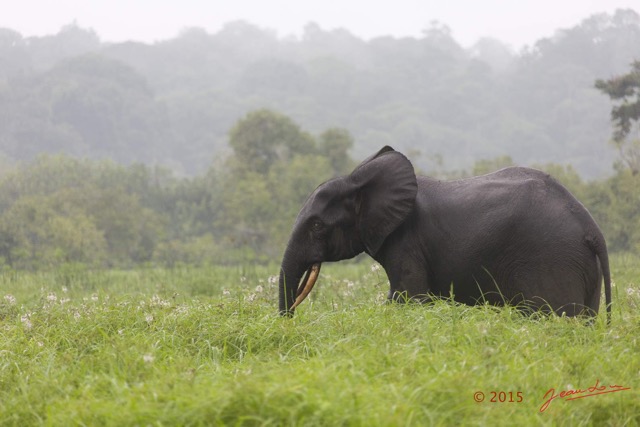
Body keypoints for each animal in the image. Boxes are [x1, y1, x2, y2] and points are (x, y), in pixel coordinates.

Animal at [278, 147, 612, 320]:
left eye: (317, 226)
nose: (289, 320)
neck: (358, 181)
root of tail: (592, 229)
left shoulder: (407, 241)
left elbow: (408, 298)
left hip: (553, 260)